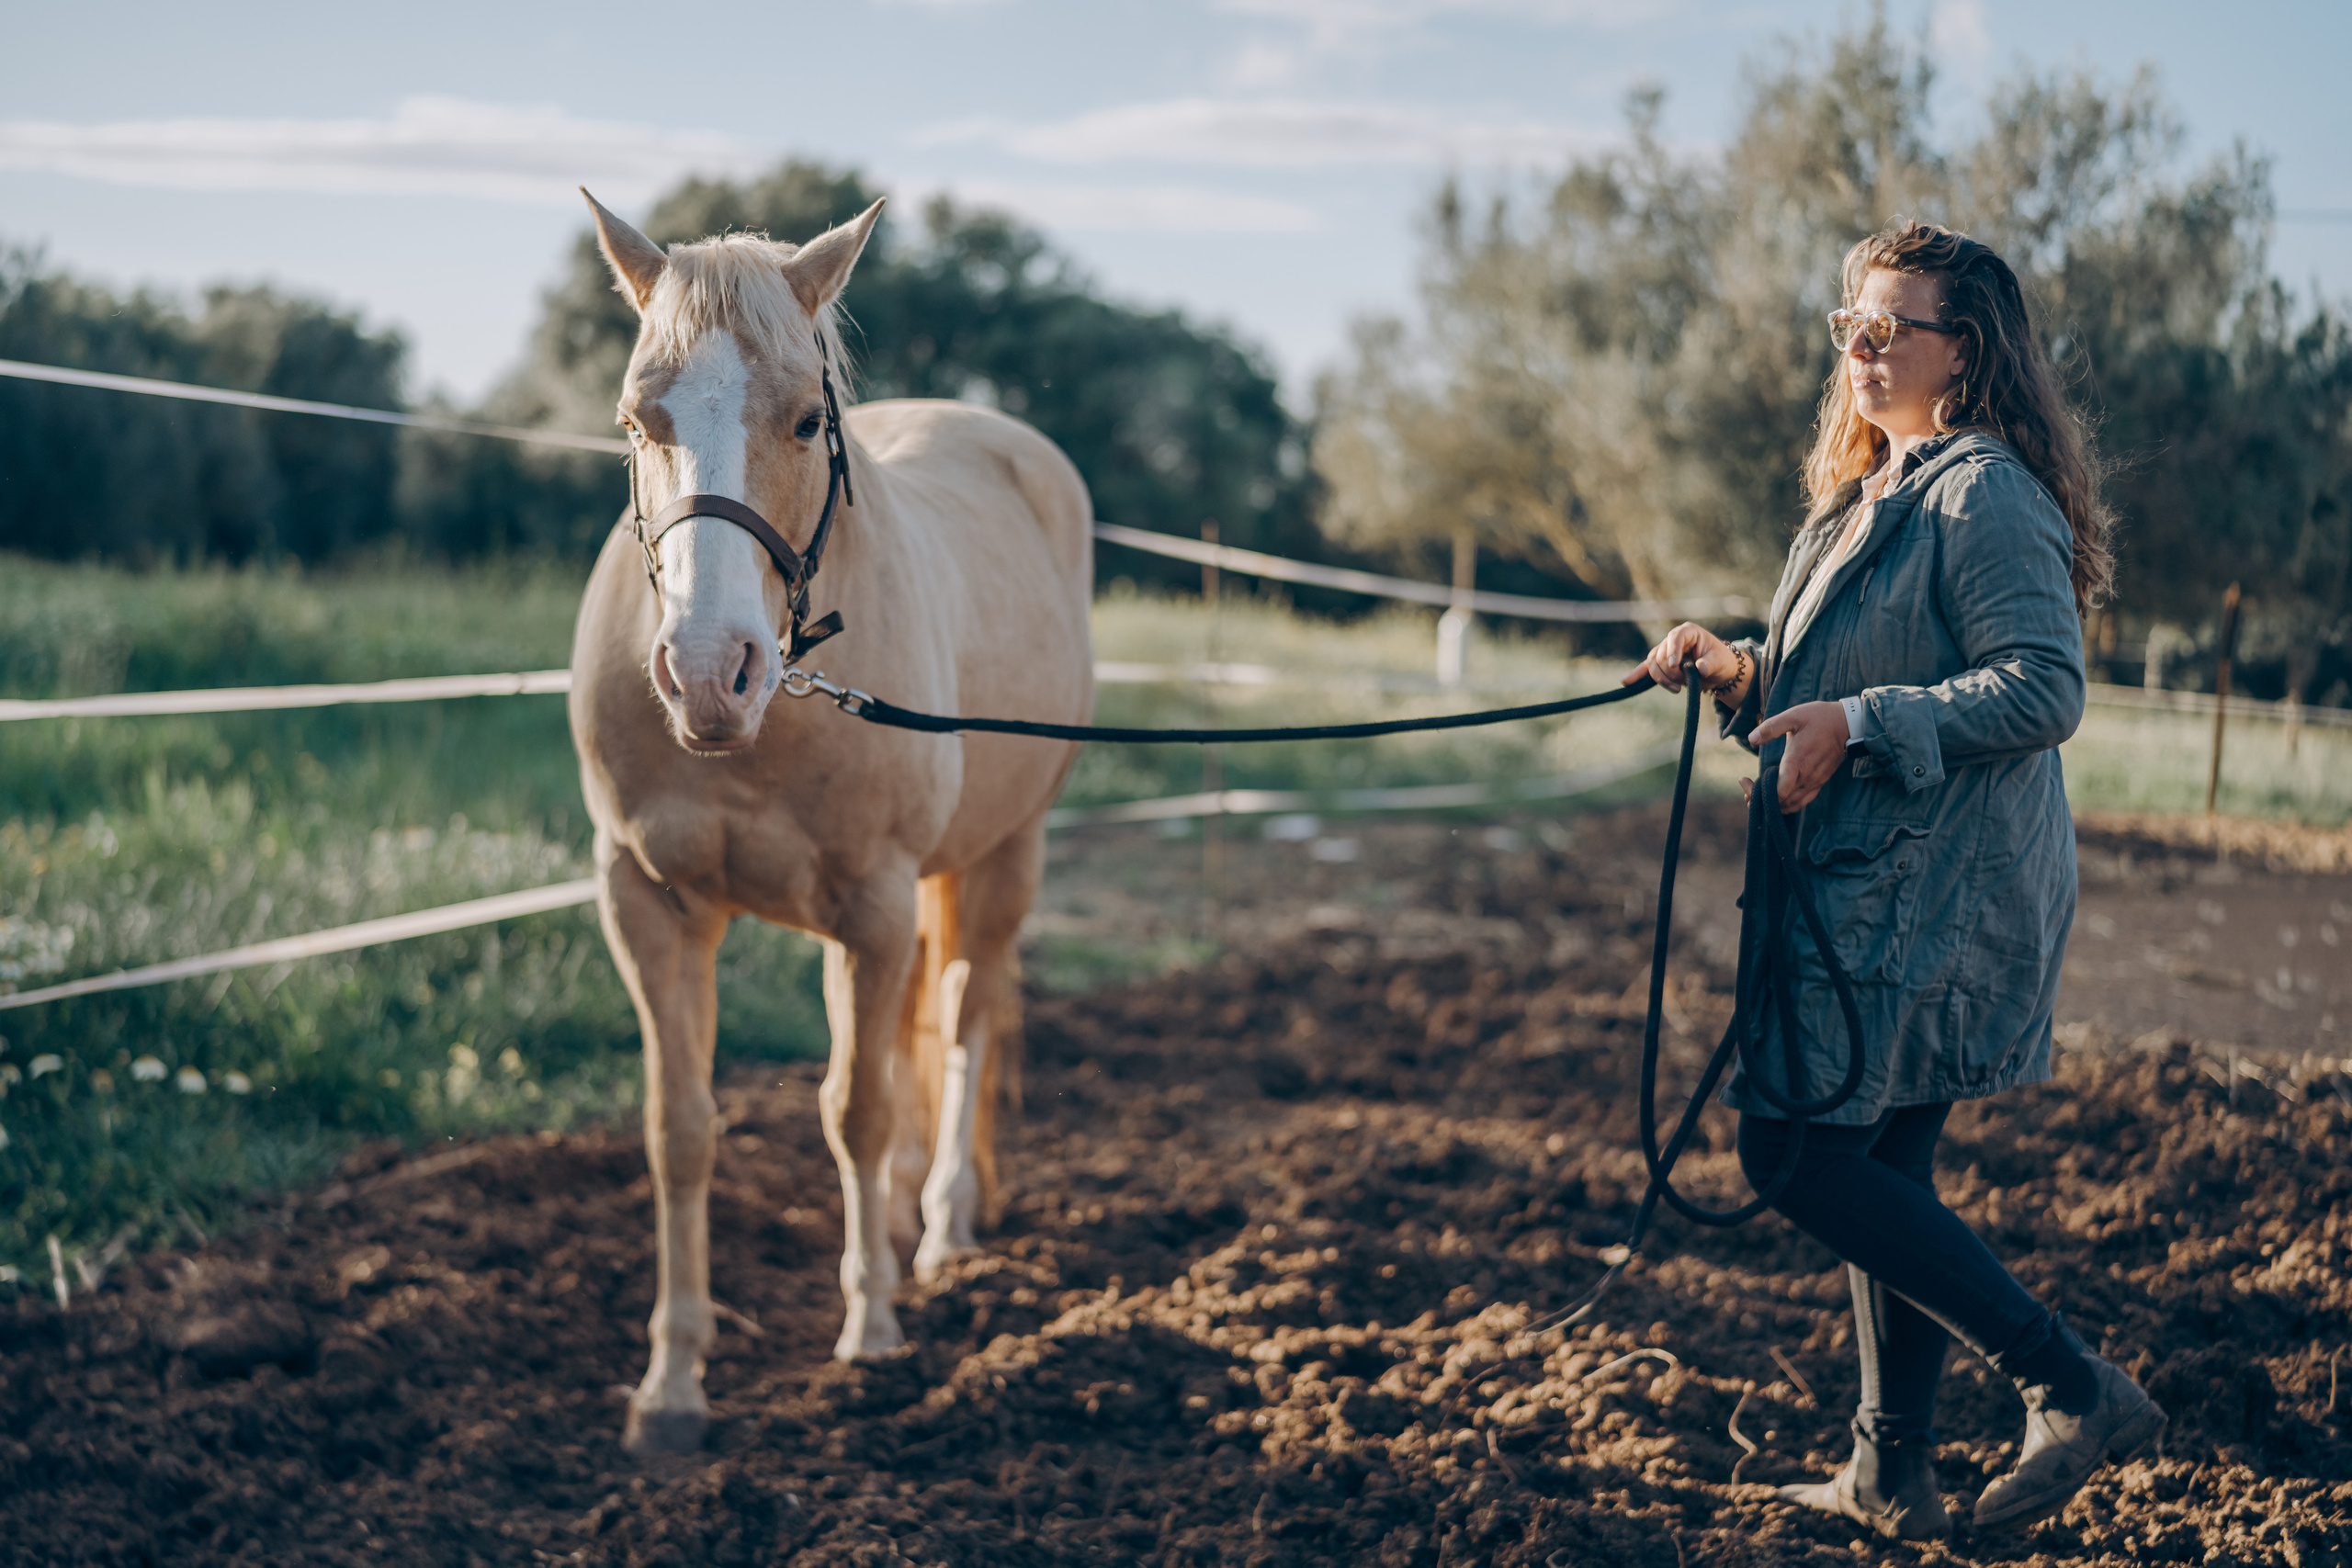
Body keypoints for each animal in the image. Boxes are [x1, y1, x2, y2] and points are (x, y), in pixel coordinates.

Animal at [566, 189, 1095, 1455]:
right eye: (636, 419)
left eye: (809, 420)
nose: (709, 674)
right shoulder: (646, 905)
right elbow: (680, 1129)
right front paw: (672, 1383)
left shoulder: (876, 905)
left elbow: (855, 1109)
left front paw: (870, 1330)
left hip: (1001, 859)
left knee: (960, 1025)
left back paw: (940, 1227)